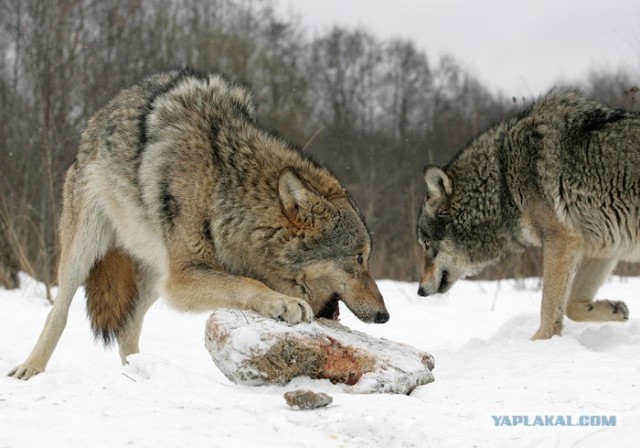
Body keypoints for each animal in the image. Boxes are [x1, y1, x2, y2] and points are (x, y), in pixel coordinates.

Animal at [10, 68, 388, 380]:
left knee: (128, 331)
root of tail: (101, 113)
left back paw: (138, 375)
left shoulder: (183, 277)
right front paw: (283, 302)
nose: (384, 316)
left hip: (154, 278)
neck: (223, 190)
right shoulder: (183, 278)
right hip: (84, 251)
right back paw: (30, 368)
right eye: (359, 258)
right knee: (58, 313)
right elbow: (246, 283)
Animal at [418, 91, 636, 340]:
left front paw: (539, 343)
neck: (502, 180)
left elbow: (549, 307)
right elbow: (572, 306)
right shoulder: (603, 246)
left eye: (426, 244)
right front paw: (614, 309)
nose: (420, 291)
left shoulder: (560, 241)